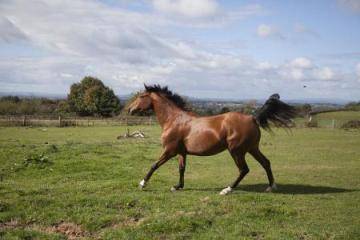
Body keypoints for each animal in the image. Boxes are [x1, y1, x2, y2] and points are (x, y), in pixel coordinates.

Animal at [126, 85, 296, 194]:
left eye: (141, 96)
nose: (130, 109)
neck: (174, 120)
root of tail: (252, 118)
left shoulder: (170, 151)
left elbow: (154, 165)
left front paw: (142, 184)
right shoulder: (182, 152)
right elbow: (182, 168)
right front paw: (178, 186)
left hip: (236, 151)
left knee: (244, 169)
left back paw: (227, 189)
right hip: (252, 148)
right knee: (266, 162)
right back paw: (271, 187)